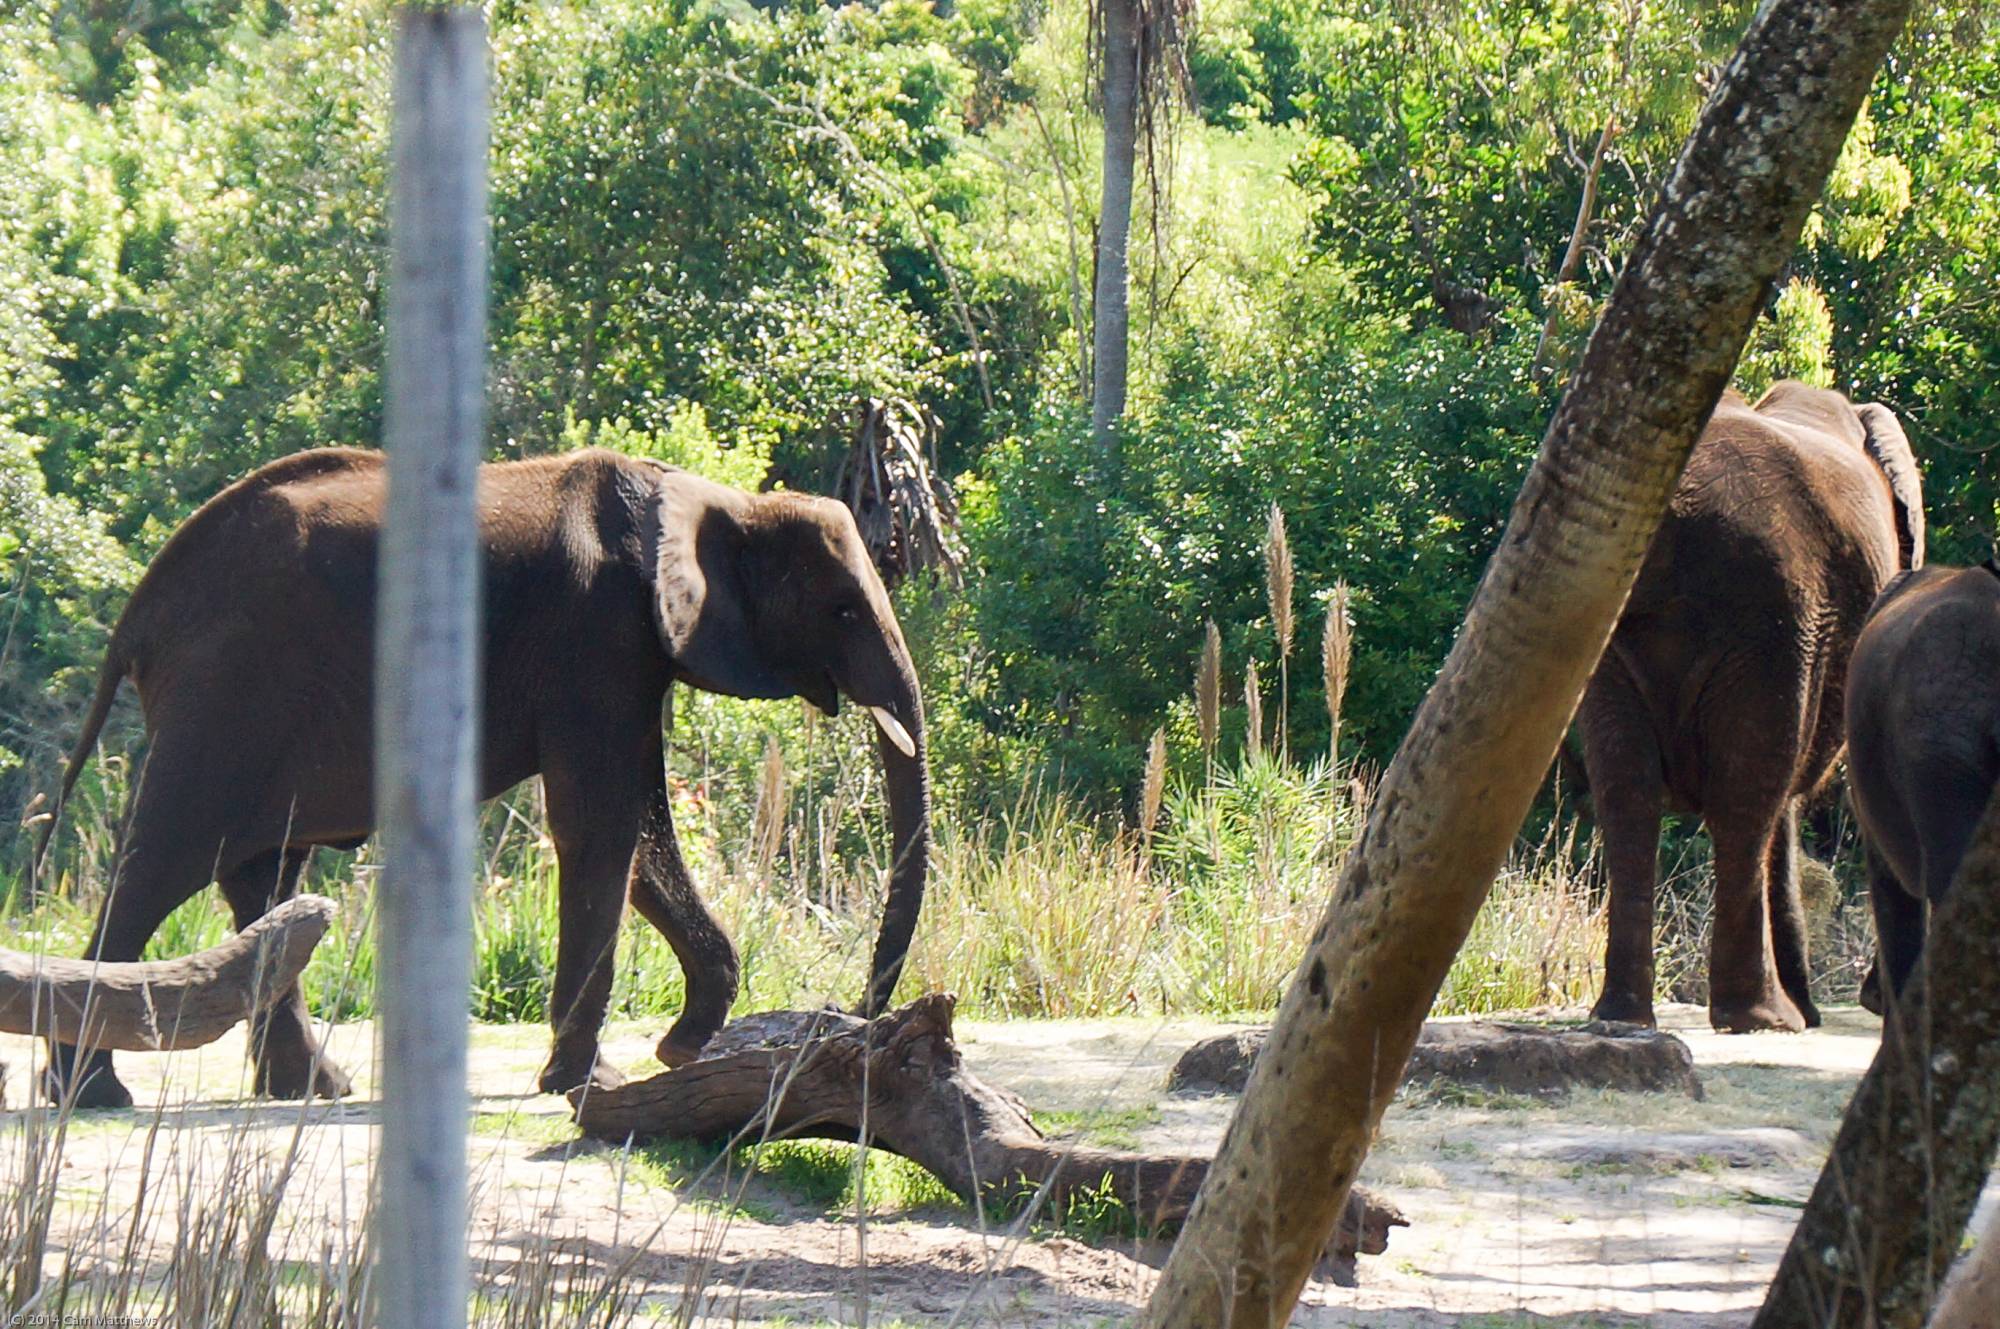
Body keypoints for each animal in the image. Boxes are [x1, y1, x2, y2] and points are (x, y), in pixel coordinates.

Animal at [33, 440, 928, 1104]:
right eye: (843, 609)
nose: (851, 1013)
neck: (718, 501)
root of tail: (139, 611)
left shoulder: (632, 651)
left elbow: (639, 830)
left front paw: (678, 1050)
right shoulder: (596, 632)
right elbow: (602, 823)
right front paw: (591, 1080)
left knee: (265, 881)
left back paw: (312, 1088)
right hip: (223, 694)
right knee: (162, 865)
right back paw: (94, 1093)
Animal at [1576, 378, 1920, 1032]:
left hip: (1622, 620)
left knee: (1627, 791)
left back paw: (1624, 1017)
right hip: (1775, 613)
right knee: (1745, 798)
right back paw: (1765, 1018)